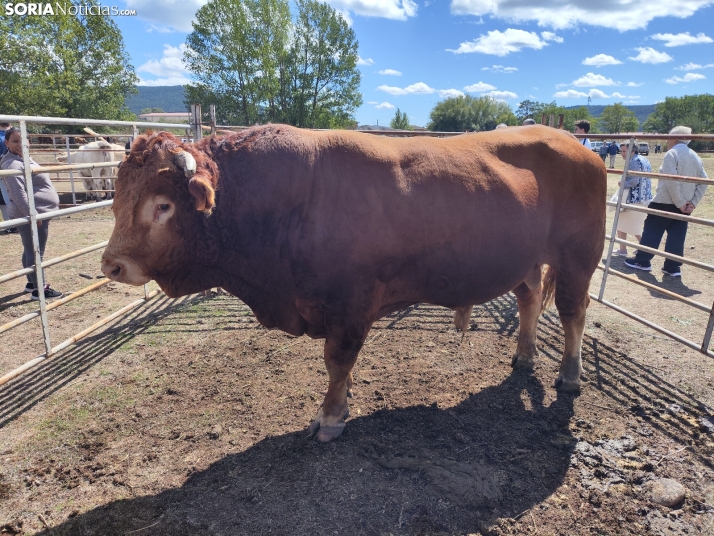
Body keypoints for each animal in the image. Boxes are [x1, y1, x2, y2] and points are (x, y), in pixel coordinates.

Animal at [98, 124, 600, 440]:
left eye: (163, 205)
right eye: (118, 197)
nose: (112, 265)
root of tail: (574, 143)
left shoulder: (353, 303)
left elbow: (337, 361)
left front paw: (331, 416)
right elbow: (341, 364)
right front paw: (347, 397)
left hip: (578, 258)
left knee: (573, 314)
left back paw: (570, 375)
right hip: (527, 261)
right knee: (529, 300)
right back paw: (523, 357)